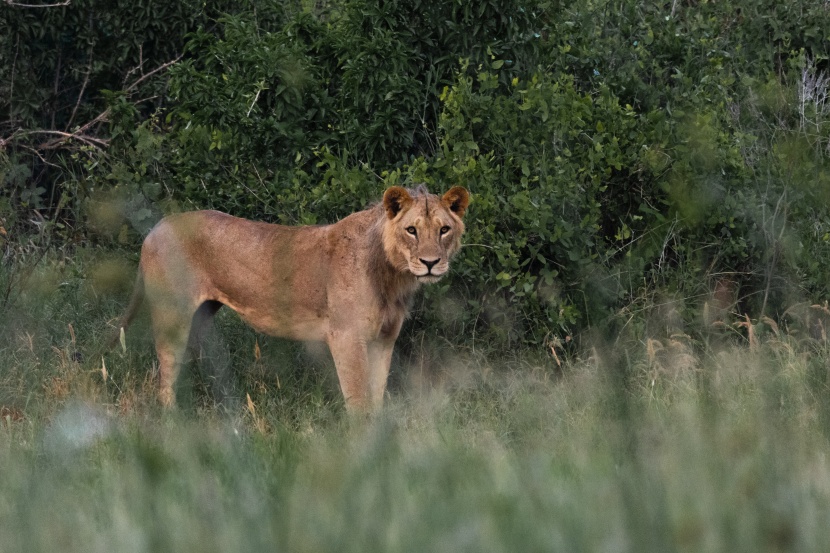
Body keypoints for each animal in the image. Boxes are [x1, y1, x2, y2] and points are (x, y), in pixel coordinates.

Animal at [114, 184, 472, 410]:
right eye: (412, 230)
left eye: (443, 230)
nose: (430, 263)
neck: (393, 275)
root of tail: (155, 229)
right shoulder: (346, 336)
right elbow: (358, 399)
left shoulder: (384, 339)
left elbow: (377, 394)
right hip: (172, 314)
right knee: (166, 374)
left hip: (201, 314)